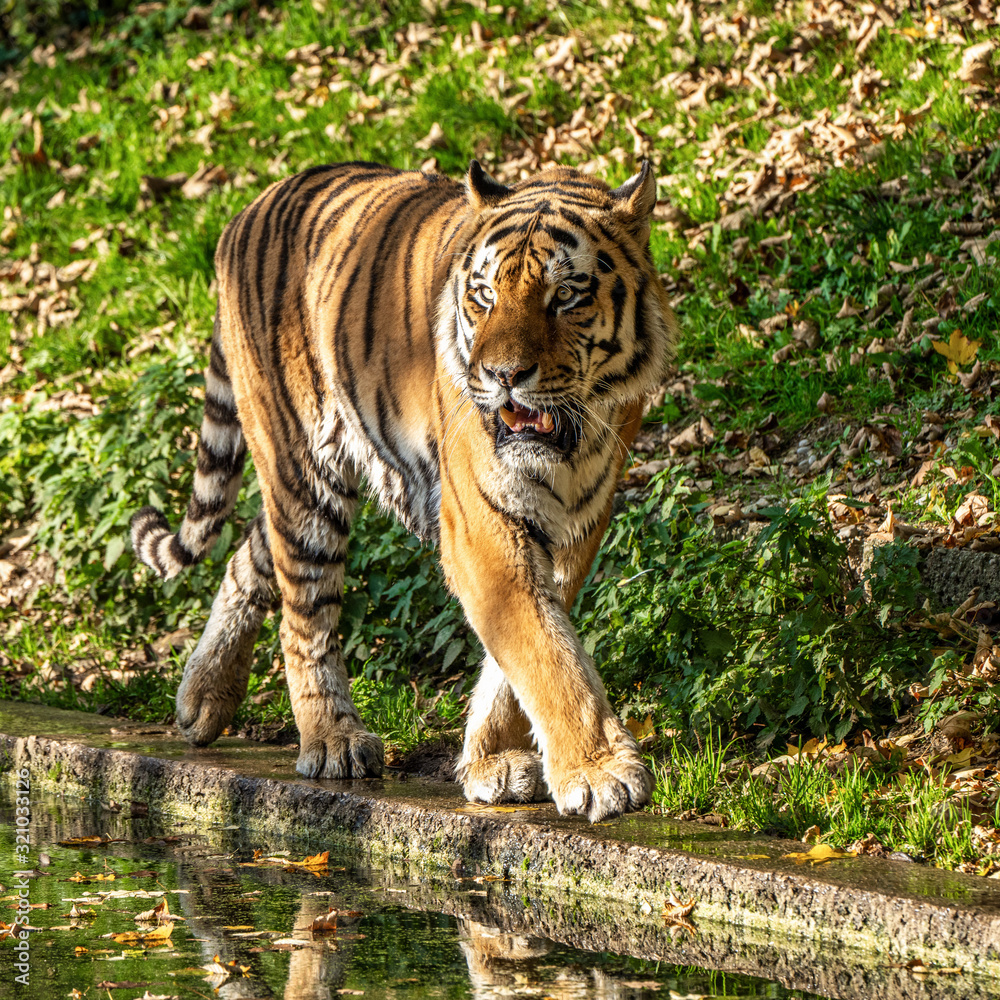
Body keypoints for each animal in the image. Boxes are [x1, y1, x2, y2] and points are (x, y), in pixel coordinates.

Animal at [130, 159, 676, 823]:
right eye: (485, 295)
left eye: (566, 295)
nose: (502, 376)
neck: (573, 443)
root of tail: (248, 208)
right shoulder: (480, 526)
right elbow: (544, 650)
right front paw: (600, 773)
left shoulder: (575, 523)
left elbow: (525, 648)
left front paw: (493, 761)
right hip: (301, 470)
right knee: (303, 616)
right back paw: (331, 740)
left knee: (251, 554)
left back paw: (202, 697)